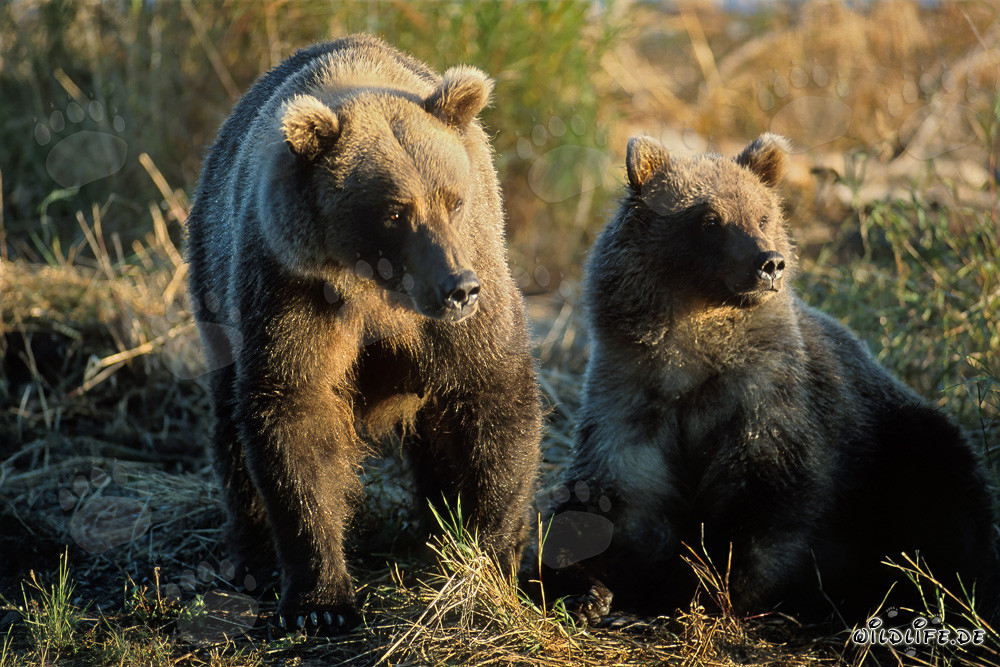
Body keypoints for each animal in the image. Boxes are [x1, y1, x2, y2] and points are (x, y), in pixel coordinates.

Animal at [185, 35, 542, 634]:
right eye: (397, 211)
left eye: (454, 199)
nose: (459, 288)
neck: (380, 290)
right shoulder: (294, 292)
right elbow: (295, 414)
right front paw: (321, 602)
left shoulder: (470, 292)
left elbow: (492, 395)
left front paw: (486, 559)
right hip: (214, 287)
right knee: (230, 428)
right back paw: (251, 557)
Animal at [537, 133, 998, 628]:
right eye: (710, 220)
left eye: (761, 215)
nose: (769, 262)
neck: (692, 354)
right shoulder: (632, 398)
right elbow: (614, 499)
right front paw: (590, 588)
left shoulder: (766, 396)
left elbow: (770, 498)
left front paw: (710, 592)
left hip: (905, 444)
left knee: (947, 490)